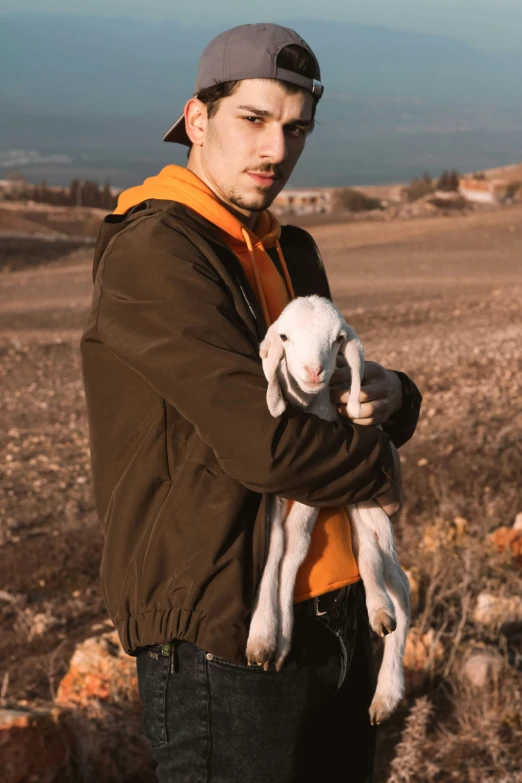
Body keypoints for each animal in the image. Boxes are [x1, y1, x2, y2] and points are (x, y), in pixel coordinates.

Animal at [245, 298, 410, 724]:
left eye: (338, 339)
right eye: (285, 337)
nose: (313, 372)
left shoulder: (309, 489)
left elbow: (295, 546)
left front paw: (271, 636)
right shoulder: (278, 490)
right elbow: (277, 545)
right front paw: (269, 634)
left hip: (372, 505)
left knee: (400, 584)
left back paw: (387, 692)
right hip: (357, 506)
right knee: (368, 557)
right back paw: (379, 611)